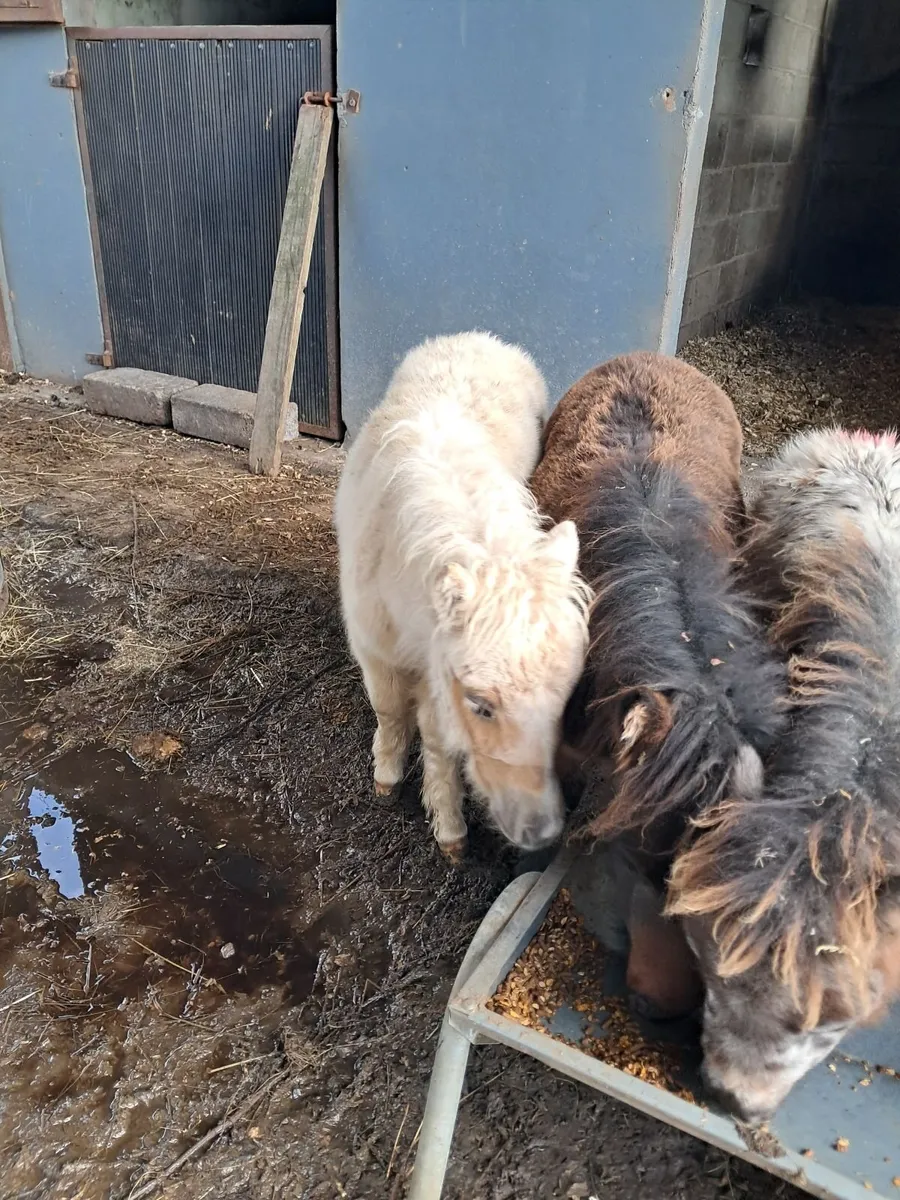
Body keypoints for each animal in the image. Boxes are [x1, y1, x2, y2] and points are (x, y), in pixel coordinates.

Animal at [335, 332, 590, 861]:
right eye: (481, 704)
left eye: (566, 701)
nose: (540, 832)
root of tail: (478, 338)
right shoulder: (376, 650)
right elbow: (390, 711)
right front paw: (387, 777)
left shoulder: (437, 666)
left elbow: (436, 741)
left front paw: (448, 828)